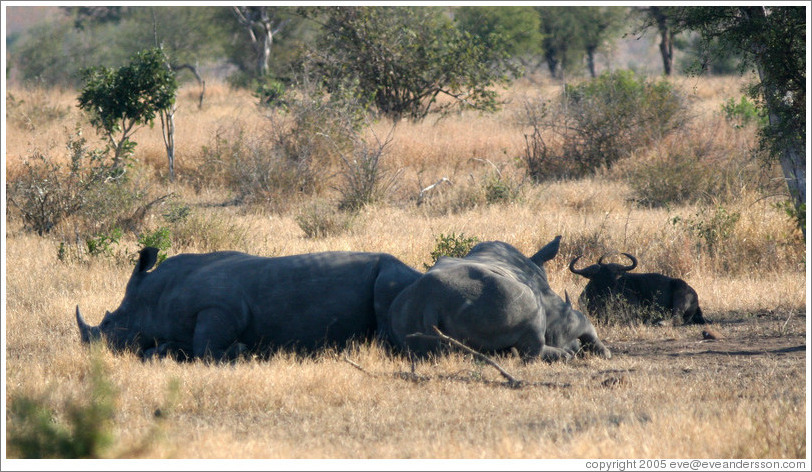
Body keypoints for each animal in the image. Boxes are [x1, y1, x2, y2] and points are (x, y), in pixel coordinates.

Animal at [76, 247, 421, 362]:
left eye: (108, 324)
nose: (91, 352)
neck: (154, 297)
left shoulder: (219, 309)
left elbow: (205, 348)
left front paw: (240, 352)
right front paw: (163, 353)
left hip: (391, 278)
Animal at [387, 236, 611, 361]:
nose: (575, 347)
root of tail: (431, 304)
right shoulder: (561, 314)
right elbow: (583, 323)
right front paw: (602, 352)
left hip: (406, 312)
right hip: (502, 299)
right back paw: (565, 356)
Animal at [569, 252, 706, 325]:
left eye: (615, 279)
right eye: (597, 278)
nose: (610, 295)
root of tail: (694, 294)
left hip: (680, 294)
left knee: (677, 317)